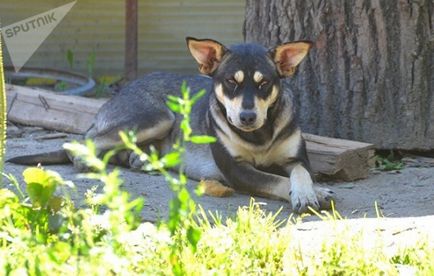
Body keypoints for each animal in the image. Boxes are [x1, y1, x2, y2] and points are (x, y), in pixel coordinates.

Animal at [8, 37, 334, 213]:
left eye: (264, 83)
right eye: (231, 82)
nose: (247, 117)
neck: (260, 134)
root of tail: (118, 93)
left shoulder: (296, 158)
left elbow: (302, 173)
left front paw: (310, 190)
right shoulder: (236, 170)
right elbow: (275, 180)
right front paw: (310, 193)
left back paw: (142, 159)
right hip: (158, 117)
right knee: (81, 144)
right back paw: (94, 160)